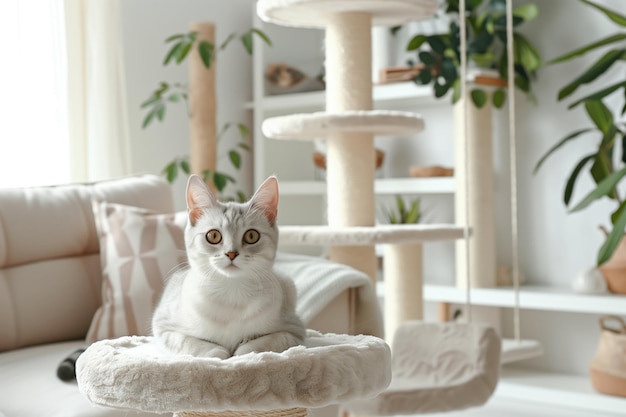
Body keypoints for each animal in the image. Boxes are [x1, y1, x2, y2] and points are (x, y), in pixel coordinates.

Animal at [152, 174, 306, 356]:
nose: (231, 253)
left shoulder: (294, 329)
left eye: (252, 236)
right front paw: (217, 352)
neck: (231, 291)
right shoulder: (164, 326)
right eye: (213, 235)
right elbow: (191, 342)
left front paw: (243, 352)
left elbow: (262, 342)